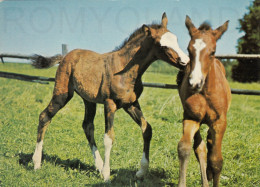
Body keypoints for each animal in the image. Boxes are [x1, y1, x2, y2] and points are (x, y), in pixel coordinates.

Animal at [32, 12, 189, 181]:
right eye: (163, 45)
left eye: (176, 40)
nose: (186, 62)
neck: (124, 70)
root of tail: (64, 57)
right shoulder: (110, 103)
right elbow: (109, 138)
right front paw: (107, 175)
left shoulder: (131, 103)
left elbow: (147, 129)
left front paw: (141, 171)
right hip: (62, 94)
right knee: (45, 116)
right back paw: (36, 163)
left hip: (89, 100)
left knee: (87, 126)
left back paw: (98, 166)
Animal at [177, 16, 232, 187]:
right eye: (189, 50)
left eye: (212, 52)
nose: (194, 83)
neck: (206, 92)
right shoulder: (191, 117)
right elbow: (185, 148)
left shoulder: (220, 122)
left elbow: (216, 161)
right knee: (201, 148)